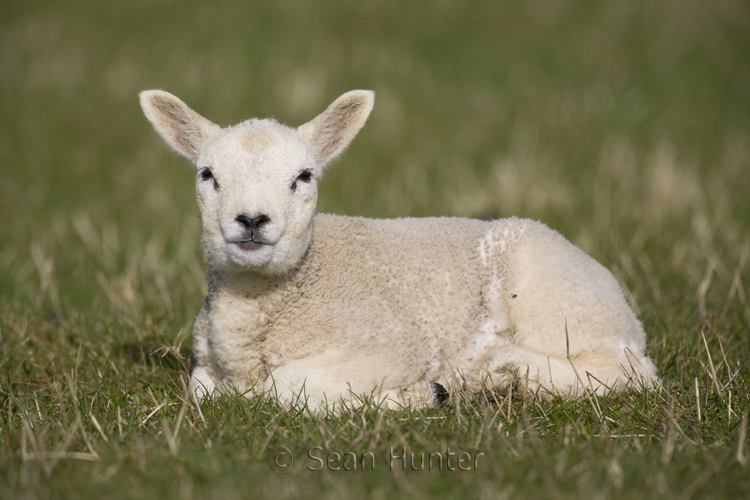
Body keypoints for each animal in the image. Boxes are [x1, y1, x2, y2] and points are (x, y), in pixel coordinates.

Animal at [140, 89, 656, 410]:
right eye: (207, 174)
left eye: (304, 176)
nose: (251, 220)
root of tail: (618, 298)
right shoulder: (206, 366)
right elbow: (206, 392)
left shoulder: (391, 344)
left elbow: (285, 387)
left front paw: (412, 397)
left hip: (559, 302)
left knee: (628, 373)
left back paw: (504, 370)